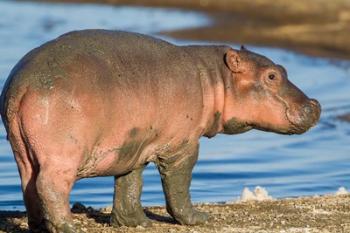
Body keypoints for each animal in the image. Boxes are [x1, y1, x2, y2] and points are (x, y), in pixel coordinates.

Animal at [0, 30, 322, 232]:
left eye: (282, 69)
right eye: (272, 76)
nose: (316, 104)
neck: (215, 78)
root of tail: (22, 84)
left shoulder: (134, 145)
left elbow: (130, 184)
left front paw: (137, 223)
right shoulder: (182, 145)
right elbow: (179, 185)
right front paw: (198, 218)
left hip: (22, 151)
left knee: (29, 186)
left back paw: (40, 227)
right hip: (62, 155)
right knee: (50, 186)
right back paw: (67, 227)